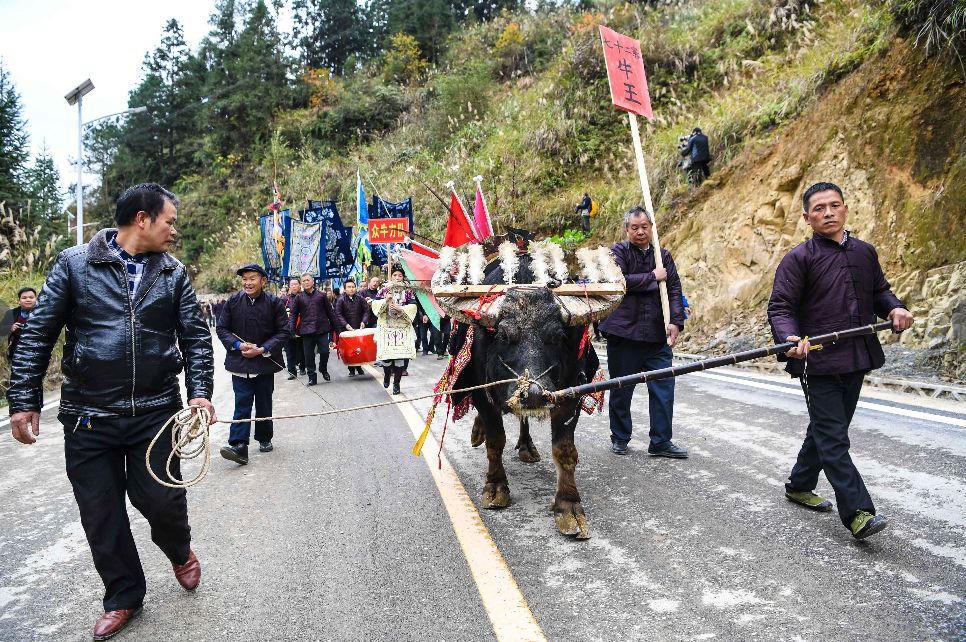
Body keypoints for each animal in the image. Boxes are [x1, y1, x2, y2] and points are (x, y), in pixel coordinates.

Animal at [434, 242, 624, 536]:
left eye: (557, 337)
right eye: (503, 336)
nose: (533, 395)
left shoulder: (569, 397)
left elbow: (564, 450)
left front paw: (568, 506)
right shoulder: (482, 393)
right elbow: (495, 441)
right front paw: (496, 487)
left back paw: (526, 446)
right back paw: (477, 433)